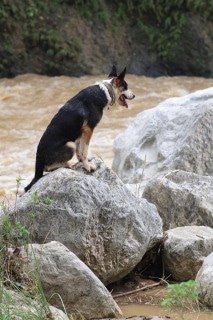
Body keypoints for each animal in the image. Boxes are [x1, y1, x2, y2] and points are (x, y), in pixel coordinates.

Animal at [24, 63, 135, 191]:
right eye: (126, 87)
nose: (134, 96)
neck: (106, 90)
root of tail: (38, 158)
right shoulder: (88, 130)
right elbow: (84, 152)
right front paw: (88, 167)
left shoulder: (80, 134)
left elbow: (80, 152)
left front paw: (82, 163)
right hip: (69, 144)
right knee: (48, 168)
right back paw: (67, 165)